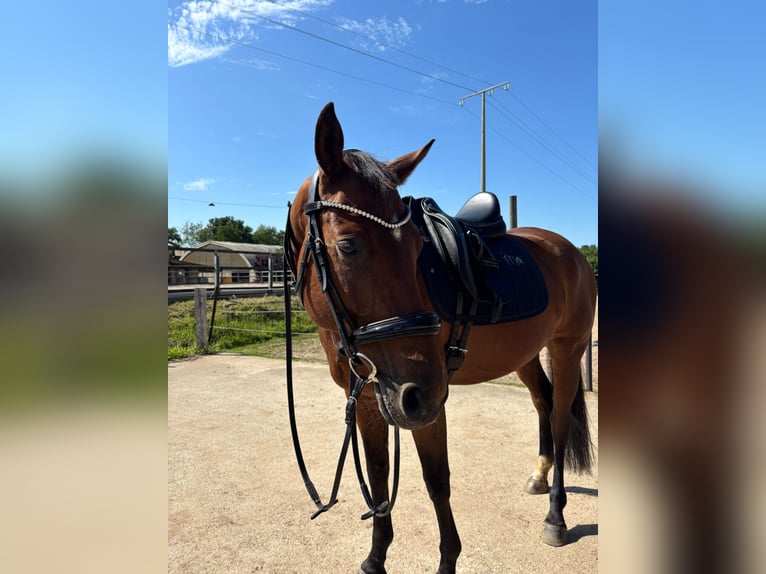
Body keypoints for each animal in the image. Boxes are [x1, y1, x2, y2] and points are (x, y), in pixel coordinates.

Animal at [285, 102, 596, 574]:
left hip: (567, 348)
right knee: (543, 403)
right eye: (349, 246)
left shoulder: (426, 405)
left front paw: (447, 558)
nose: (421, 392)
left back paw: (556, 516)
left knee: (560, 420)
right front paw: (376, 557)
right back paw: (539, 476)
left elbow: (436, 481)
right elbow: (378, 479)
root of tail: (570, 251)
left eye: (418, 249)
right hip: (525, 355)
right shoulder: (371, 396)